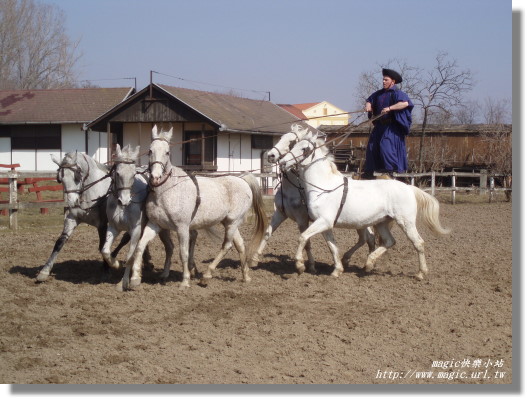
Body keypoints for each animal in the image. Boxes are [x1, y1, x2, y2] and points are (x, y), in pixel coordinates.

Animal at [36, 152, 130, 282]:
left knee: (126, 238)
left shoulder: (102, 224)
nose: (72, 203)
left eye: (77, 176)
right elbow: (60, 242)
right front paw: (45, 271)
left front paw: (106, 271)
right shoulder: (71, 219)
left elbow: (102, 246)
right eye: (60, 179)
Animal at [102, 144, 176, 284]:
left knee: (169, 247)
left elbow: (130, 256)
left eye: (133, 174)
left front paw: (125, 281)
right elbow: (105, 251)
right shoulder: (113, 228)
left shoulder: (135, 230)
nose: (124, 200)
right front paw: (115, 264)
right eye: (117, 173)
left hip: (162, 228)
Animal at [120, 125, 268, 290]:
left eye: (167, 152)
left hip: (233, 222)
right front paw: (135, 279)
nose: (155, 177)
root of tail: (242, 180)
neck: (166, 192)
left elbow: (183, 253)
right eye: (150, 151)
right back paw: (245, 276)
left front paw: (185, 281)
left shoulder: (182, 227)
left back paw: (207, 275)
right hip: (229, 222)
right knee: (240, 245)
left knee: (227, 245)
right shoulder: (155, 224)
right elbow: (140, 246)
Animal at [251, 122, 376, 272]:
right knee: (365, 238)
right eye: (281, 138)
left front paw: (308, 265)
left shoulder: (302, 219)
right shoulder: (280, 214)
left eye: (291, 142)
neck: (292, 189)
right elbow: (267, 234)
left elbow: (307, 242)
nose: (271, 155)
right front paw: (254, 259)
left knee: (368, 238)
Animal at [280, 136, 450, 280]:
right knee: (389, 241)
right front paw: (337, 270)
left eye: (304, 149)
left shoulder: (324, 221)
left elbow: (302, 237)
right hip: (381, 223)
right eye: (293, 146)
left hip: (405, 222)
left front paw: (299, 265)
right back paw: (368, 264)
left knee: (418, 243)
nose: (282, 163)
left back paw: (420, 273)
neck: (324, 187)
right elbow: (332, 246)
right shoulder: (325, 225)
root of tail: (408, 187)